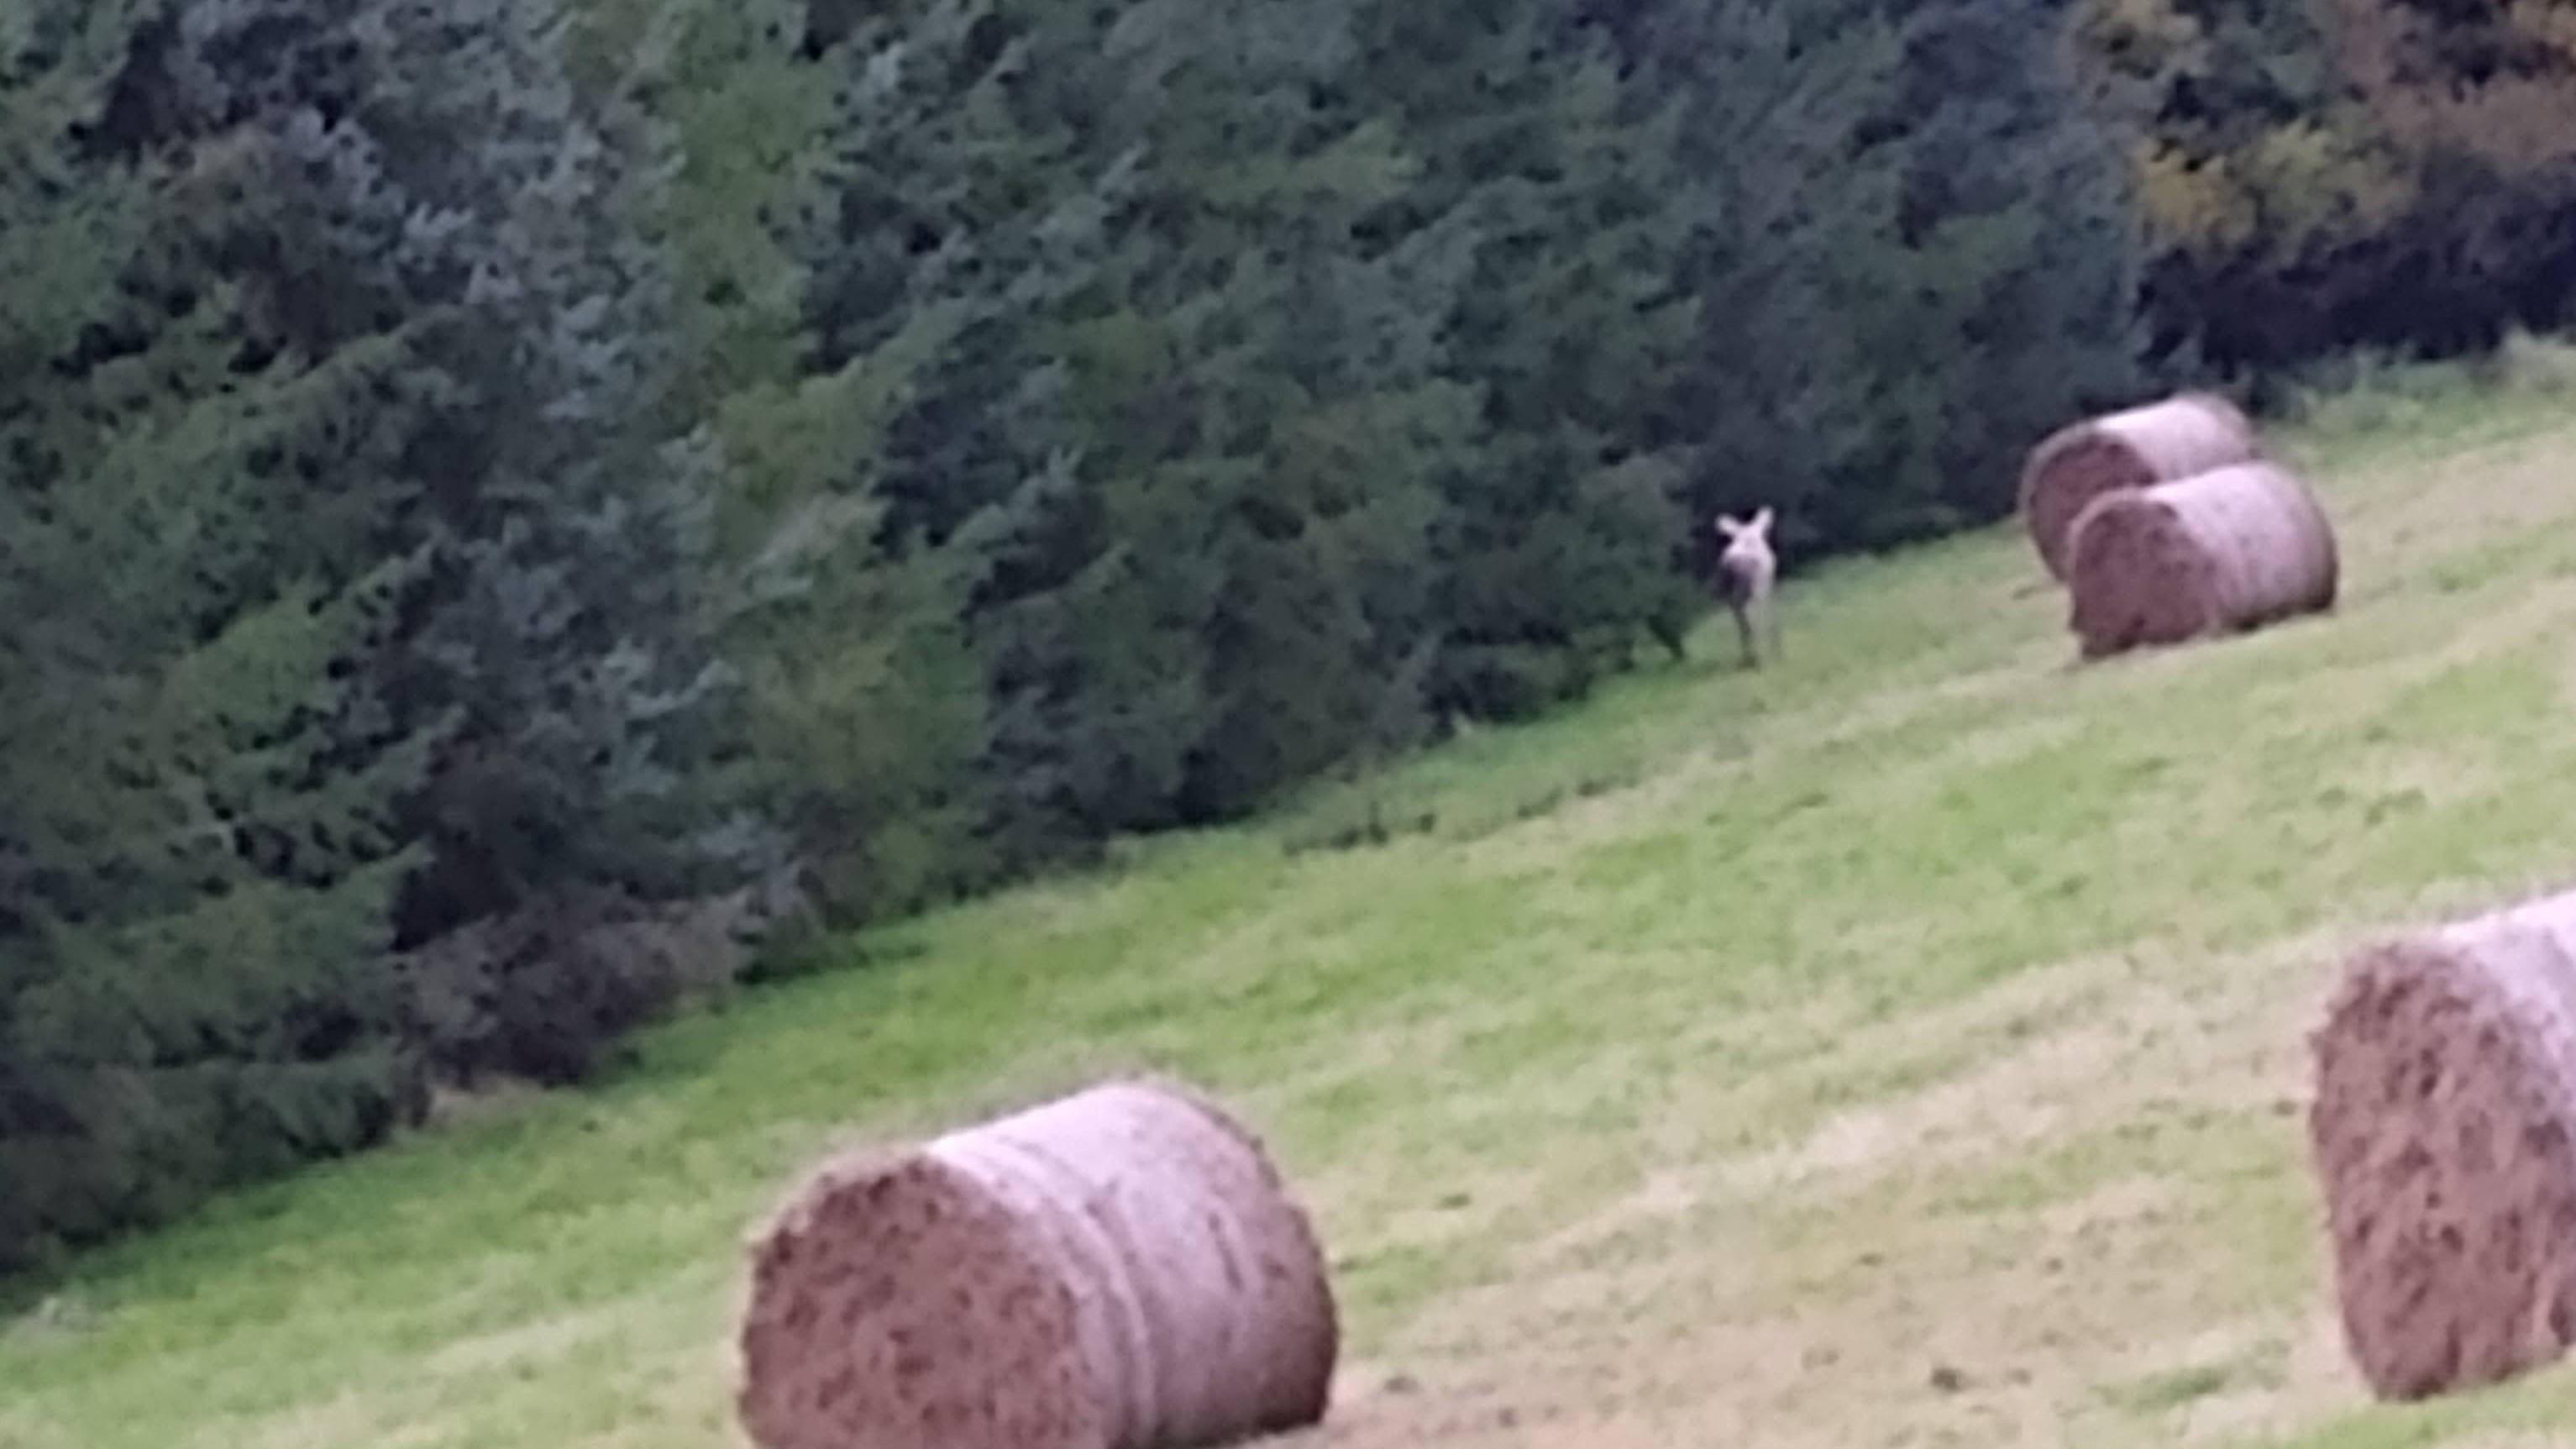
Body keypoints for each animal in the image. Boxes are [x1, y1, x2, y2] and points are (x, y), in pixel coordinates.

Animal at [1710, 505, 1772, 670]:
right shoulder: (1767, 587)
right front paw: (1778, 653)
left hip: (1732, 596)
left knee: (1741, 622)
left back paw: (1747, 658)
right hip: (1751, 590)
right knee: (1751, 620)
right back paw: (1758, 658)